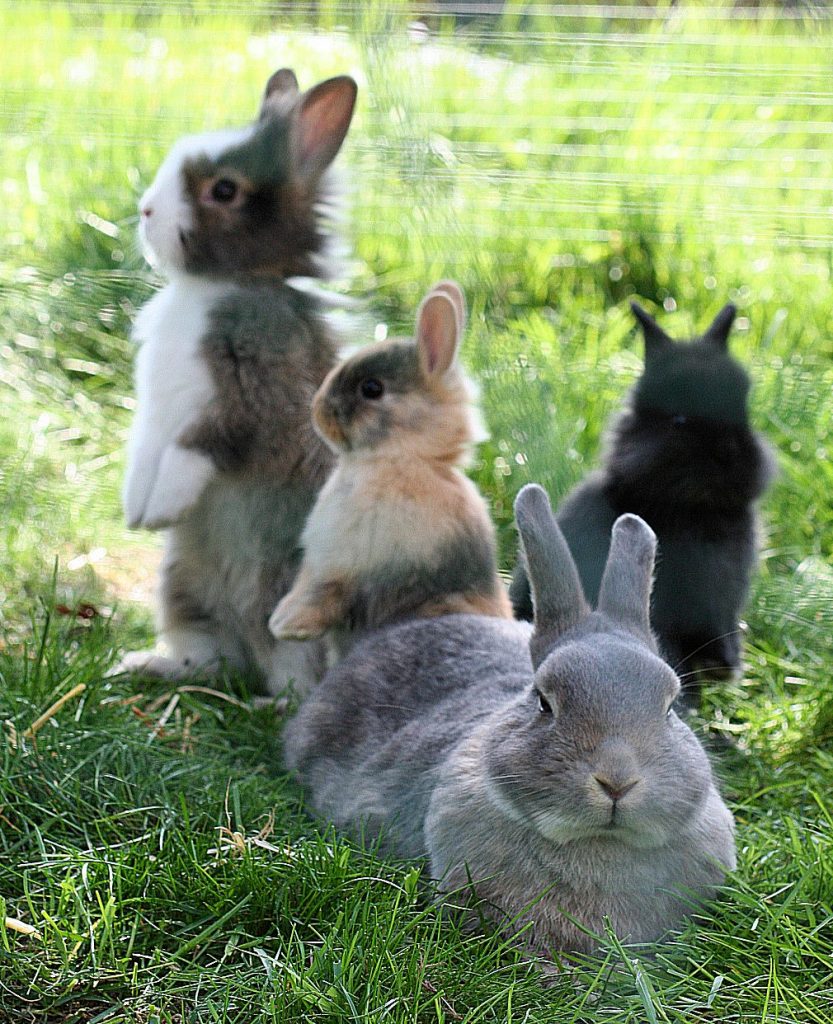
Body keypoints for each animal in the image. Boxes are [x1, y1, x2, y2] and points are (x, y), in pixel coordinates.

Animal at [117, 68, 358, 694]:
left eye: (224, 191)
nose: (145, 211)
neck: (223, 285)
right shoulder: (154, 414)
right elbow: (146, 452)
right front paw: (134, 511)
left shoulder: (249, 400)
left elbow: (194, 449)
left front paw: (159, 511)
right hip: (182, 588)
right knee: (215, 659)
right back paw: (148, 666)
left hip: (289, 601)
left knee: (297, 673)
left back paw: (273, 704)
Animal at [268, 281, 511, 655]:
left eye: (372, 388)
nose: (317, 410)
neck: (396, 460)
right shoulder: (321, 563)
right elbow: (308, 586)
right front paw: (280, 619)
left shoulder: (347, 566)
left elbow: (326, 596)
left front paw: (288, 627)